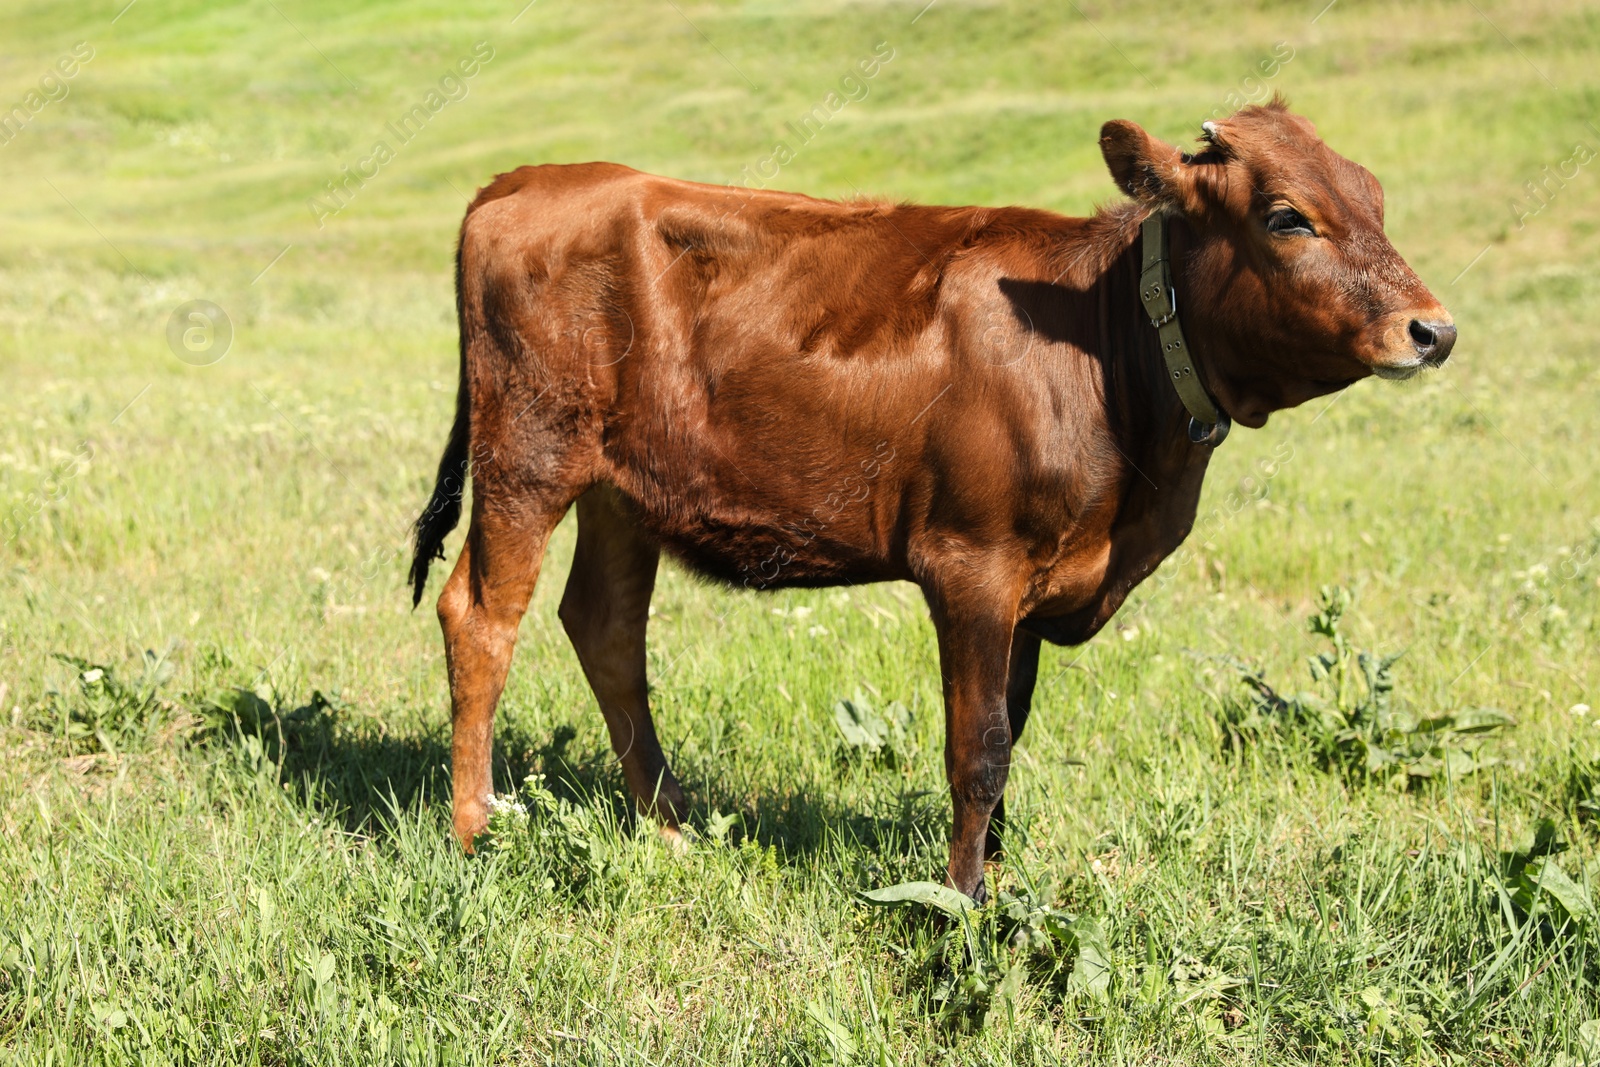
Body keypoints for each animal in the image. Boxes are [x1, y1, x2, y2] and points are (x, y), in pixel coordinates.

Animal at [409, 102, 1452, 902]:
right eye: (1287, 217)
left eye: (1374, 196)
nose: (1433, 329)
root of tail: (529, 179)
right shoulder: (972, 562)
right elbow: (979, 746)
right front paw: (964, 901)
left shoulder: (1036, 579)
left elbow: (1009, 731)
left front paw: (996, 871)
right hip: (529, 455)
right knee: (482, 617)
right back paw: (473, 831)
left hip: (623, 490)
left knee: (606, 626)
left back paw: (667, 828)